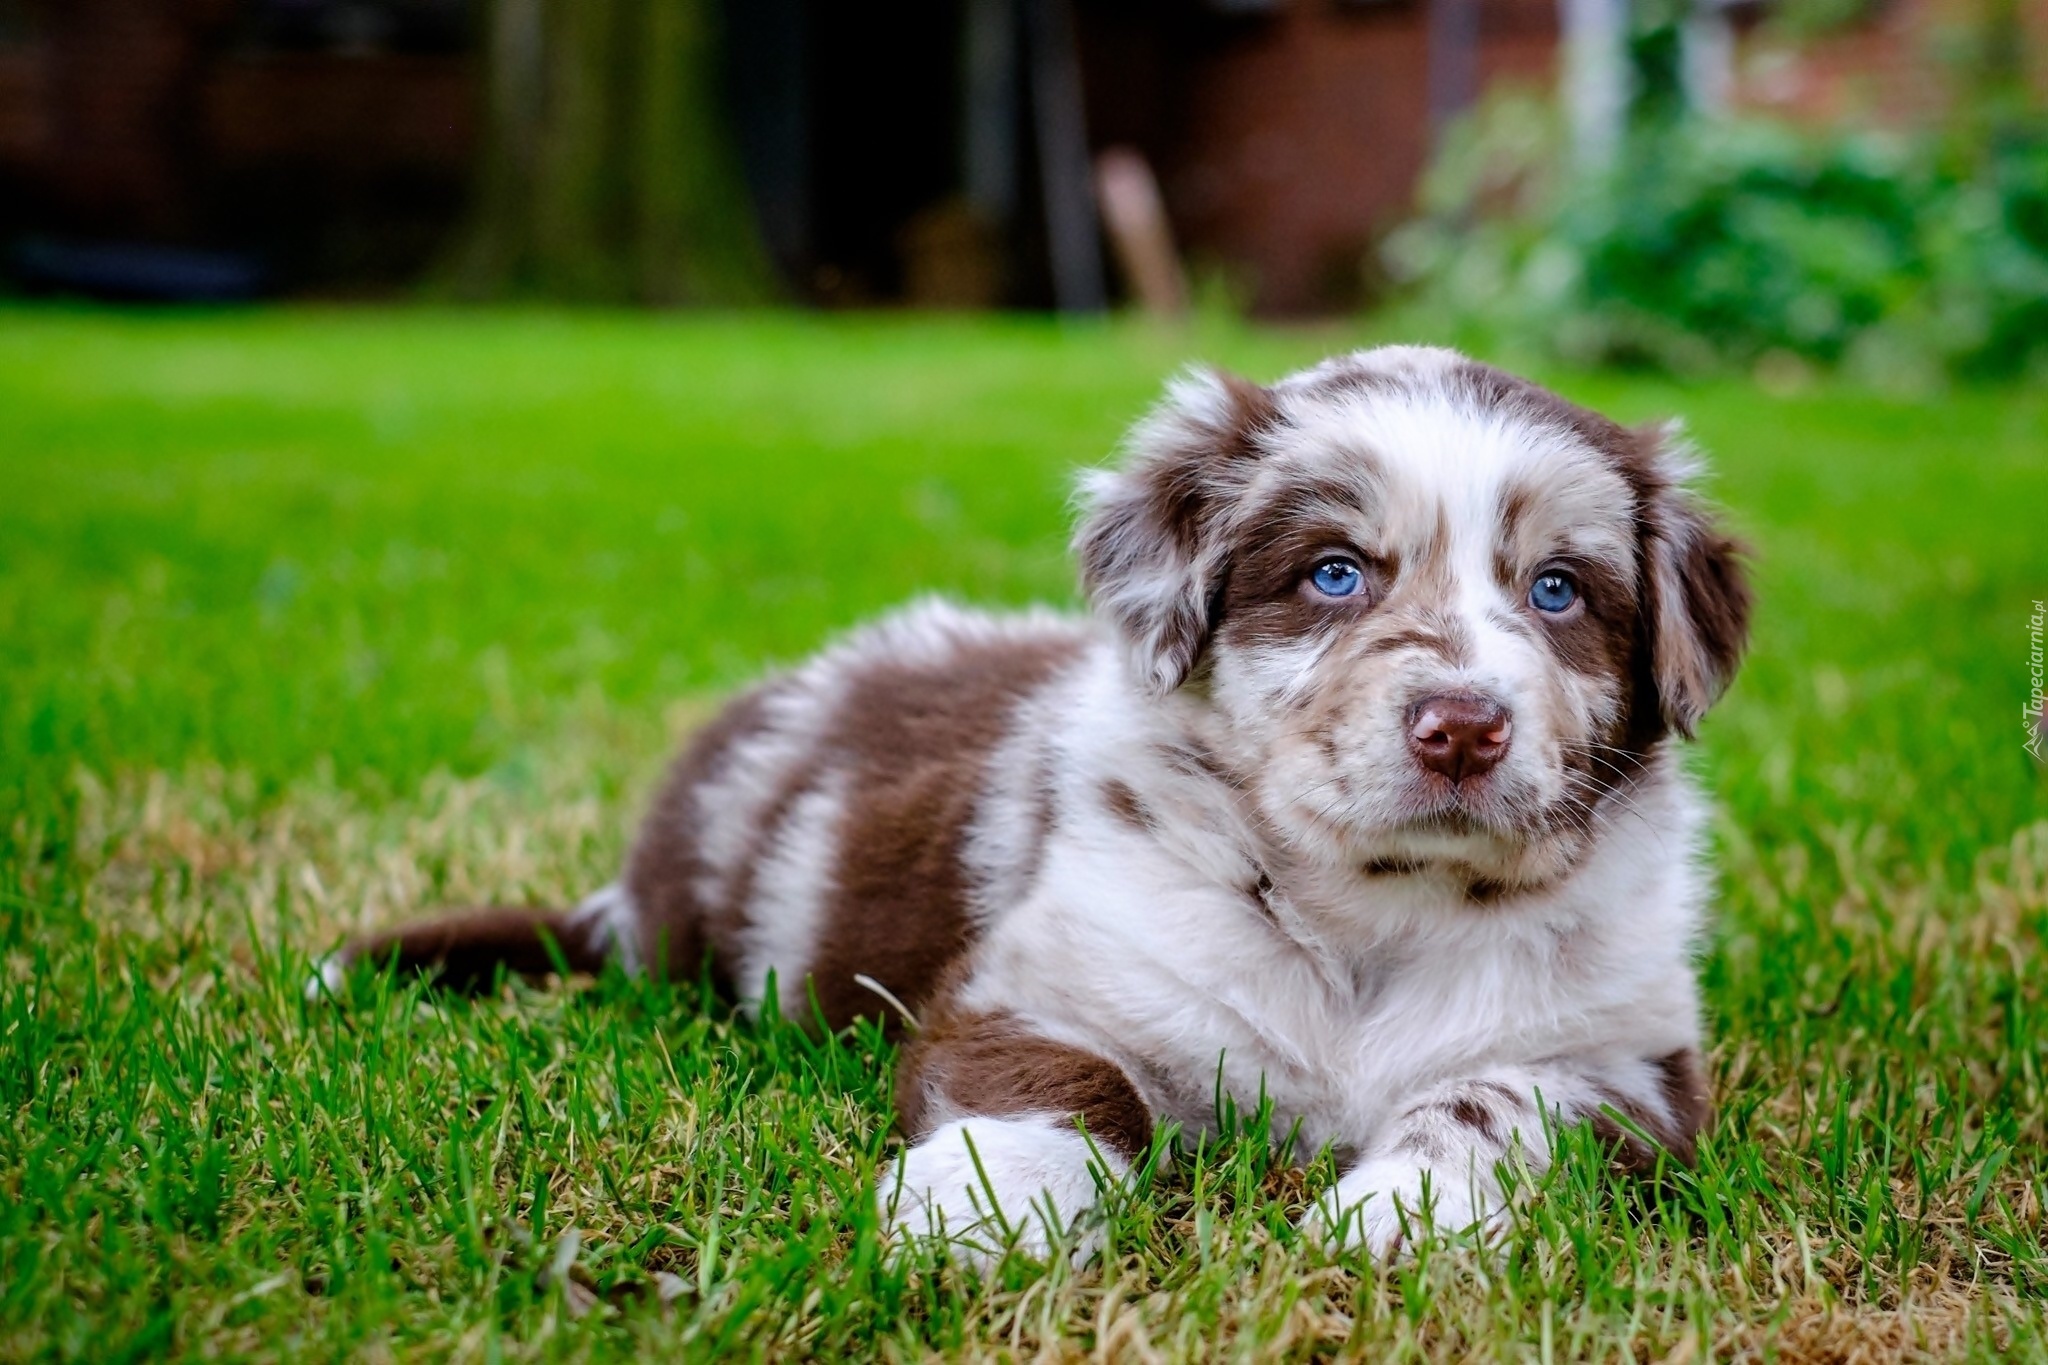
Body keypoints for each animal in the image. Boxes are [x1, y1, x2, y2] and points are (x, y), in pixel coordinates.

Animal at [327, 347, 1753, 1268]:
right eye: (1334, 574)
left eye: (1557, 591)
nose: (1461, 727)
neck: (1369, 915)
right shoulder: (1049, 982)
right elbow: (1063, 1092)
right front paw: (976, 1216)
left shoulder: (1626, 1064)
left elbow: (1498, 1105)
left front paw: (1404, 1217)